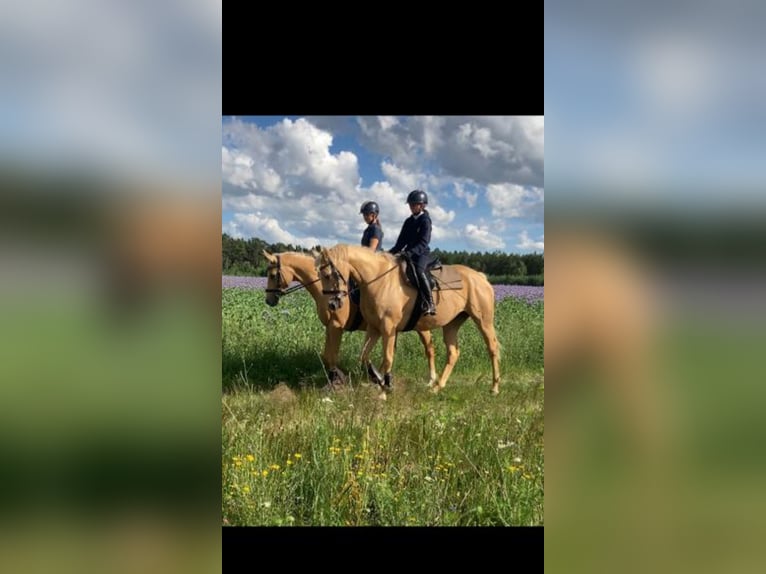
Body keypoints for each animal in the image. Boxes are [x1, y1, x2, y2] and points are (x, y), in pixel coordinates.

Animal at [260, 251, 438, 388]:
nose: (269, 300)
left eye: (273, 275)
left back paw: (430, 381)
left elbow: (332, 356)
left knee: (429, 349)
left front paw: (337, 379)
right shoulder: (329, 326)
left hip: (420, 326)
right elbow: (326, 355)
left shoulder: (336, 326)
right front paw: (336, 377)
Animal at [316, 243, 500, 396]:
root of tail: (480, 277)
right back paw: (437, 387)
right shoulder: (374, 328)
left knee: (492, 348)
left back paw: (494, 388)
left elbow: (388, 357)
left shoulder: (388, 329)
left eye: (327, 275)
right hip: (451, 324)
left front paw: (386, 386)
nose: (332, 304)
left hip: (483, 321)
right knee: (453, 353)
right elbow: (364, 355)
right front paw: (377, 379)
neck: (379, 281)